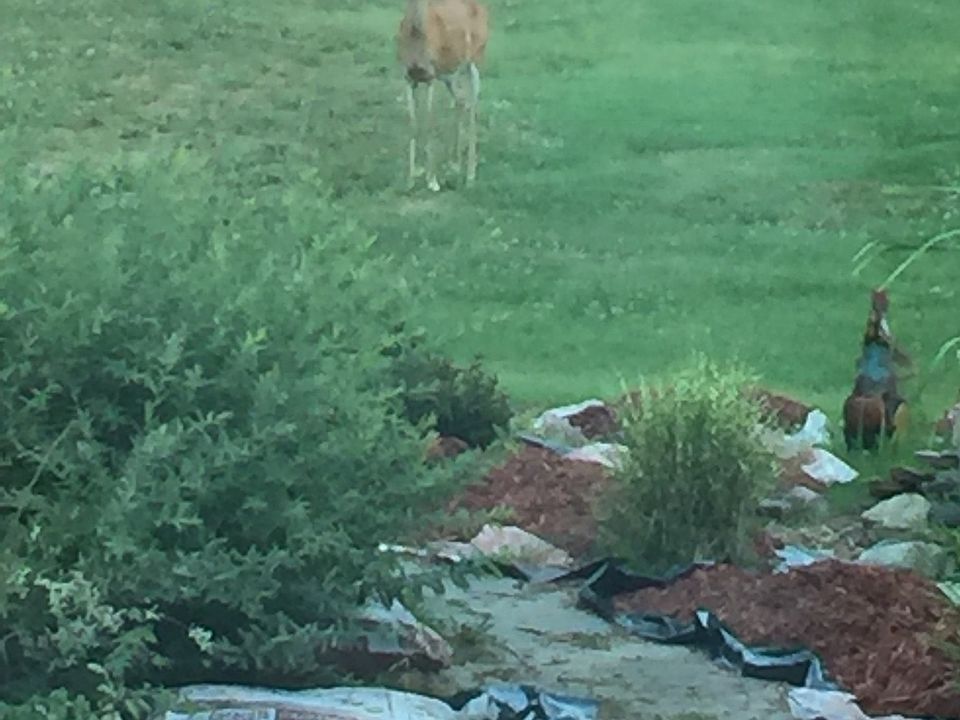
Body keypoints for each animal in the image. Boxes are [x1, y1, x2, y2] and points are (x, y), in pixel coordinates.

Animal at [396, 0, 489, 192]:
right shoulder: (408, 77)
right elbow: (412, 125)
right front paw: (410, 180)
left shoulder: (430, 76)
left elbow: (430, 125)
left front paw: (432, 180)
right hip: (449, 74)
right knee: (461, 101)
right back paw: (455, 164)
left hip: (475, 59)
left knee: (473, 105)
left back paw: (470, 174)